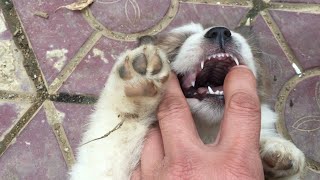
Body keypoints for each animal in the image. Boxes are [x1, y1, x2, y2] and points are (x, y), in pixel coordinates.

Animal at [69, 23, 304, 179]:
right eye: (179, 43)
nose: (220, 32)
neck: (205, 132)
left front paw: (275, 149)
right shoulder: (99, 168)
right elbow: (115, 134)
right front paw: (135, 87)